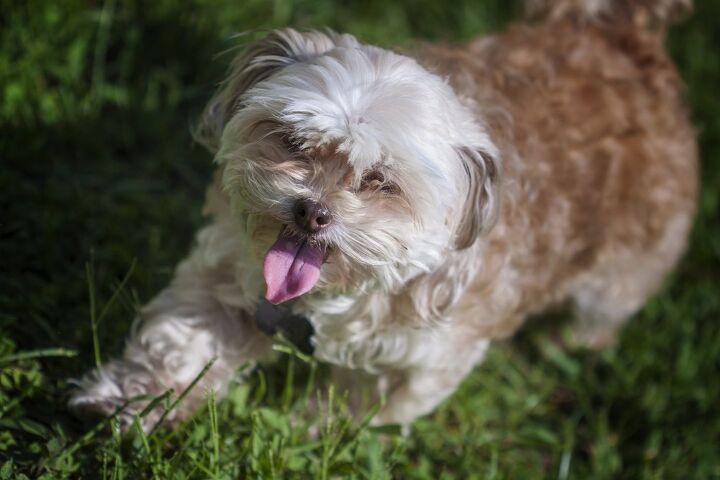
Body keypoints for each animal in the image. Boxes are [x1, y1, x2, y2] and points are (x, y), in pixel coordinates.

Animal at [69, 0, 696, 432]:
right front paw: (128, 401)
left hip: (621, 277)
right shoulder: (218, 282)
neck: (328, 299)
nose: (312, 211)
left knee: (598, 319)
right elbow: (177, 346)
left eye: (380, 182)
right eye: (293, 141)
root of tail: (620, 34)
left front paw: (305, 435)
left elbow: (347, 408)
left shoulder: (417, 362)